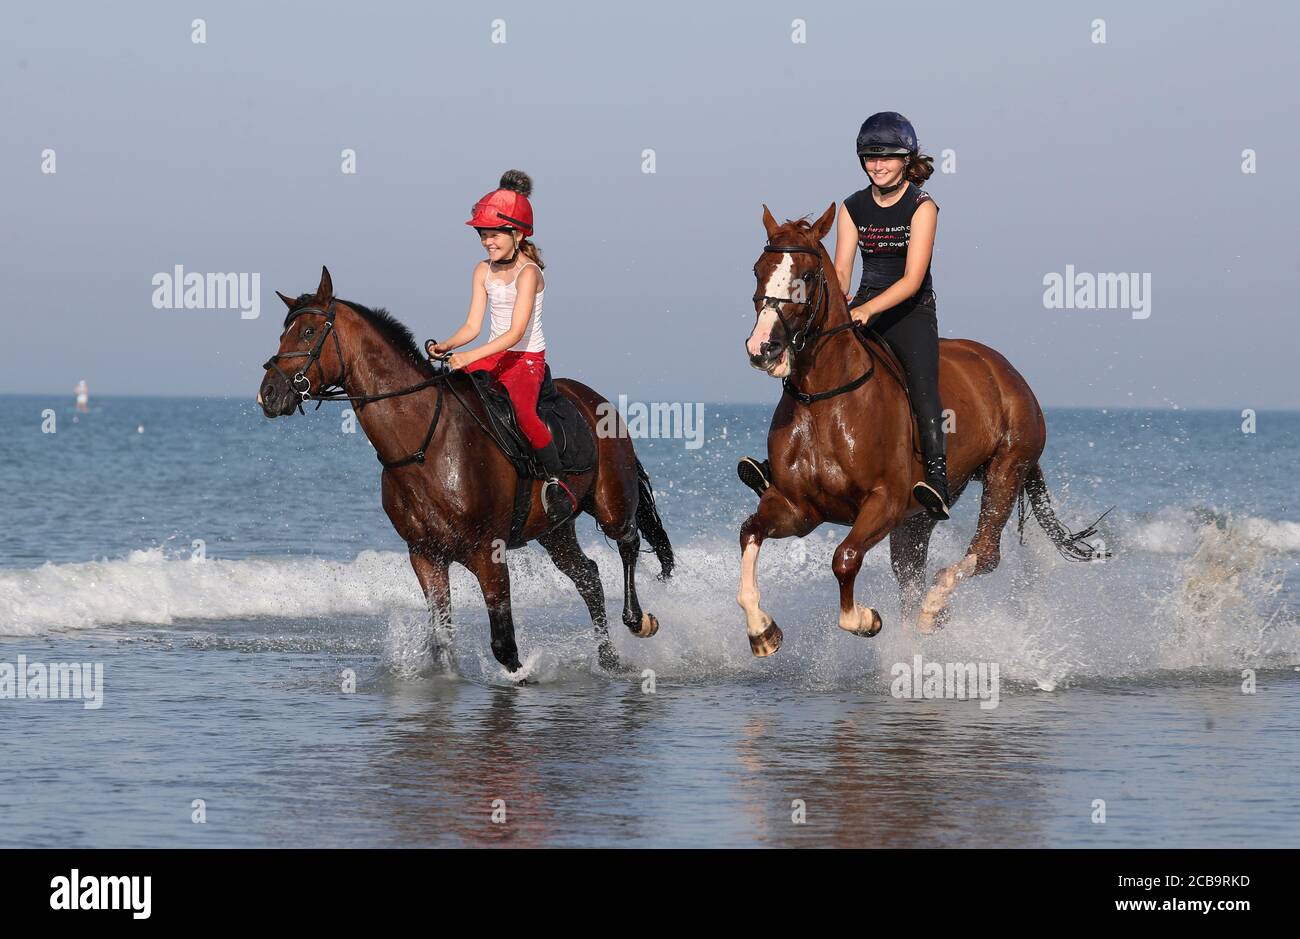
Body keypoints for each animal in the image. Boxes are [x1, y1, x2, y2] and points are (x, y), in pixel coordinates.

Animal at [258, 265, 676, 671]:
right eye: (282, 334)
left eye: (309, 332)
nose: (268, 394)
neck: (425, 444)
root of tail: (598, 400)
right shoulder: (425, 556)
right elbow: (441, 639)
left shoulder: (488, 554)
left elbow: (504, 646)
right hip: (555, 530)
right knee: (589, 576)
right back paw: (608, 659)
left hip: (611, 503)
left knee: (627, 543)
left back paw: (638, 621)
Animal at [738, 208, 1102, 655]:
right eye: (758, 270)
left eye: (806, 275)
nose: (763, 349)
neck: (822, 399)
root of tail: (1007, 372)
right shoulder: (797, 507)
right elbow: (750, 532)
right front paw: (762, 630)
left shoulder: (884, 503)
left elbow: (844, 558)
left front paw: (865, 619)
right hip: (919, 517)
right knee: (911, 574)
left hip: (1006, 469)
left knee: (983, 555)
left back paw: (934, 607)